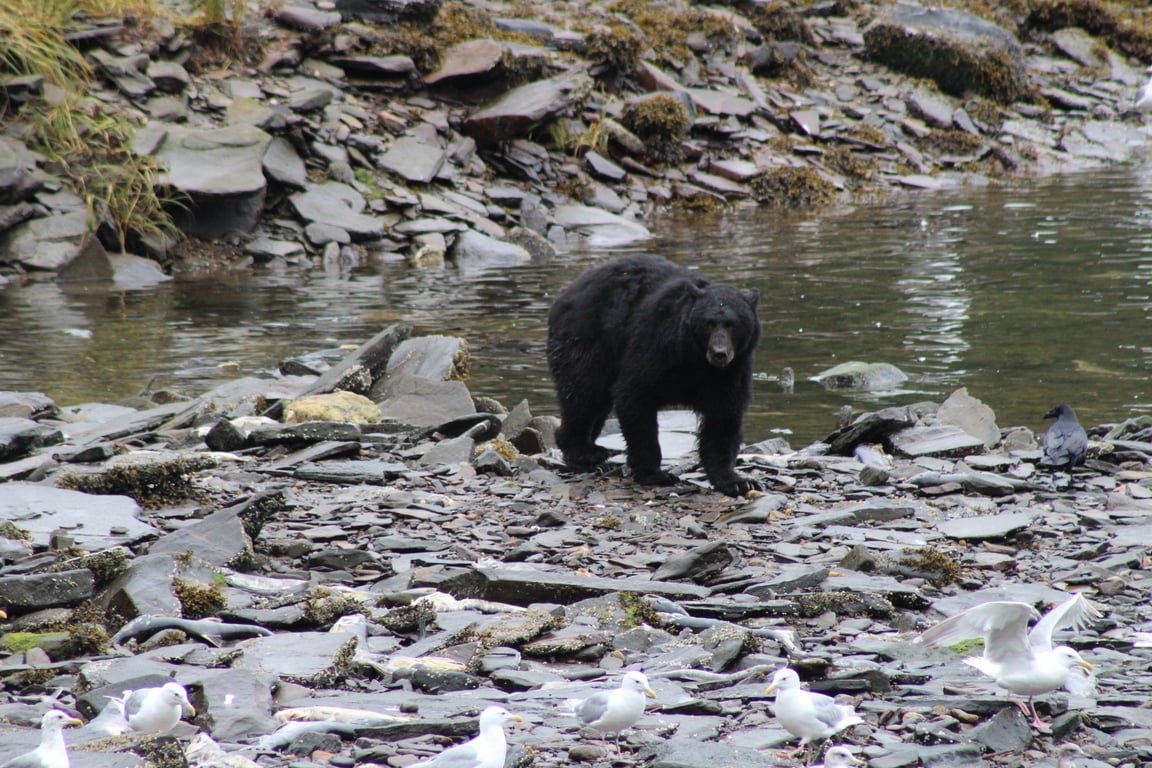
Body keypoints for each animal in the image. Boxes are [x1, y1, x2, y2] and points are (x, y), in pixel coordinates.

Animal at [546, 254, 762, 497]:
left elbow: (724, 416)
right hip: (587, 338)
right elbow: (635, 395)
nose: (719, 353)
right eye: (708, 323)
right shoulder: (657, 346)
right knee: (584, 391)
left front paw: (735, 481)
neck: (696, 361)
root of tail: (566, 292)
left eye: (732, 324)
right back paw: (585, 452)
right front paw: (655, 474)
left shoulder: (732, 371)